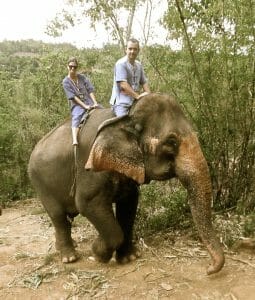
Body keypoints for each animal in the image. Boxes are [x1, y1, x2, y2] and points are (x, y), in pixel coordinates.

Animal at [27, 93, 225, 274]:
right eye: (171, 142)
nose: (208, 269)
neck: (126, 116)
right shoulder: (88, 166)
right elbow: (87, 203)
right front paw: (98, 253)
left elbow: (129, 204)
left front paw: (130, 257)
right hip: (39, 182)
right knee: (58, 216)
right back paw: (70, 258)